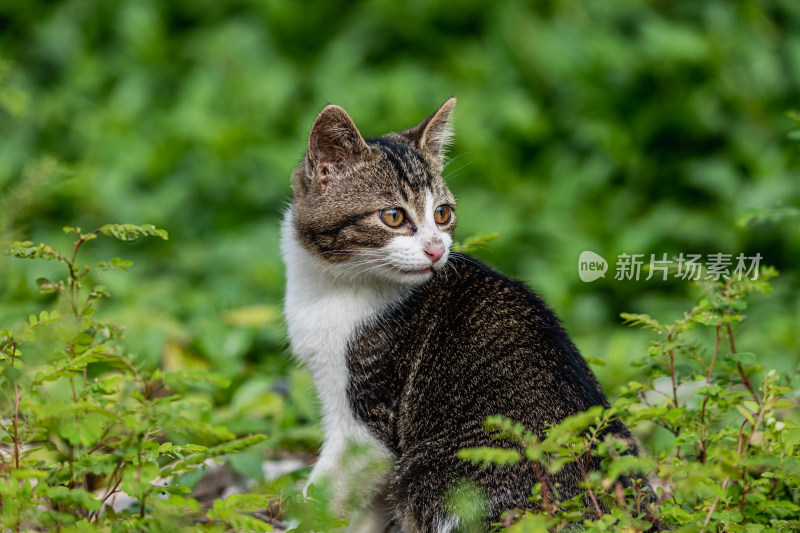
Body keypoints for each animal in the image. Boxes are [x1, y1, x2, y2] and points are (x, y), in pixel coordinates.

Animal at [282, 98, 656, 528]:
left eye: (442, 214)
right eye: (393, 216)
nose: (436, 249)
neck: (330, 284)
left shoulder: (367, 418)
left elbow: (328, 494)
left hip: (430, 472)